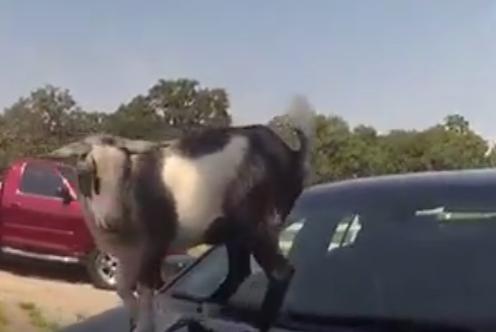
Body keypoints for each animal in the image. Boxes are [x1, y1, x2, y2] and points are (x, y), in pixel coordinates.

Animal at [48, 101, 316, 332]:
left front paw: (145, 326)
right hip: (236, 231)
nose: (113, 220)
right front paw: (135, 321)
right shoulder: (127, 254)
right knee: (239, 271)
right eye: (86, 172)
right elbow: (123, 287)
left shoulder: (153, 244)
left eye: (126, 171)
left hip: (261, 224)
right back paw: (208, 306)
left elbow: (145, 289)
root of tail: (293, 155)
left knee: (280, 272)